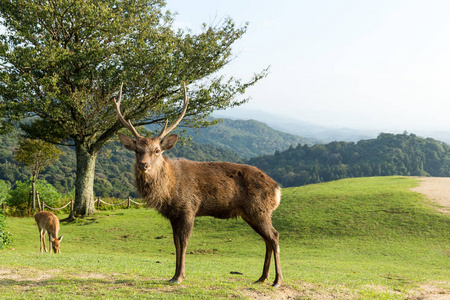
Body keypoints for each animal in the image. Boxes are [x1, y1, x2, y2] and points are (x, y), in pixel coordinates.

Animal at [116, 83, 284, 288]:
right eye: (137, 150)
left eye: (156, 150)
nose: (143, 165)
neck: (169, 190)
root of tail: (277, 189)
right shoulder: (173, 215)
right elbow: (175, 243)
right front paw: (173, 275)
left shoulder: (189, 207)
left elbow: (184, 242)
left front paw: (179, 276)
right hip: (251, 213)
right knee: (267, 239)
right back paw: (261, 278)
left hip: (259, 209)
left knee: (274, 236)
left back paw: (277, 280)